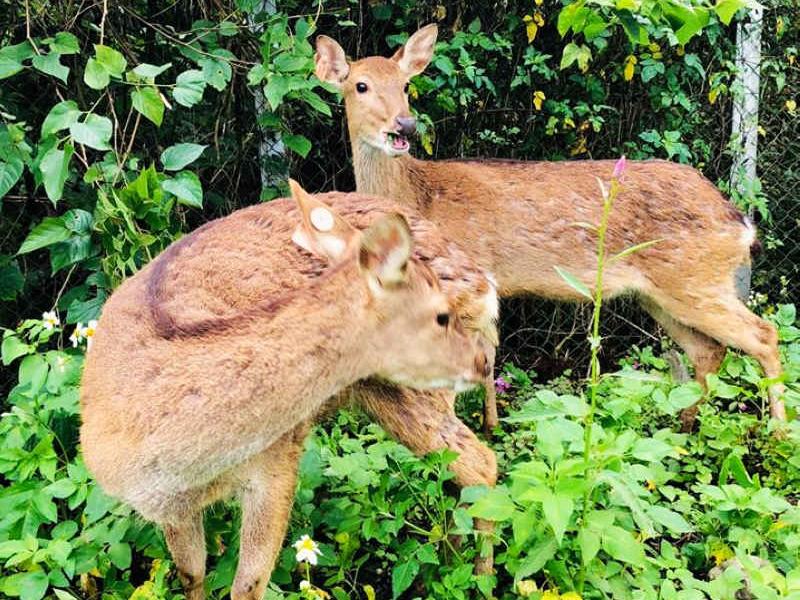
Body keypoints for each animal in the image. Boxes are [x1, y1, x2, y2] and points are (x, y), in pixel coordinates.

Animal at [78, 180, 496, 596]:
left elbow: (248, 584)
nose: (479, 362)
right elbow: (191, 574)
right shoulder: (169, 507)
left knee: (481, 463)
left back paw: (479, 580)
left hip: (413, 393)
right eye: (440, 316)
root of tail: (484, 284)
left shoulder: (277, 461)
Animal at [314, 23, 788, 426]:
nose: (405, 125)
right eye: (360, 85)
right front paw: (491, 424)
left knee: (764, 334)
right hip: (661, 293)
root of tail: (739, 220)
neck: (420, 197)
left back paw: (777, 435)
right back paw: (686, 429)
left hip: (696, 280)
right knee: (708, 351)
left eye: (405, 85)